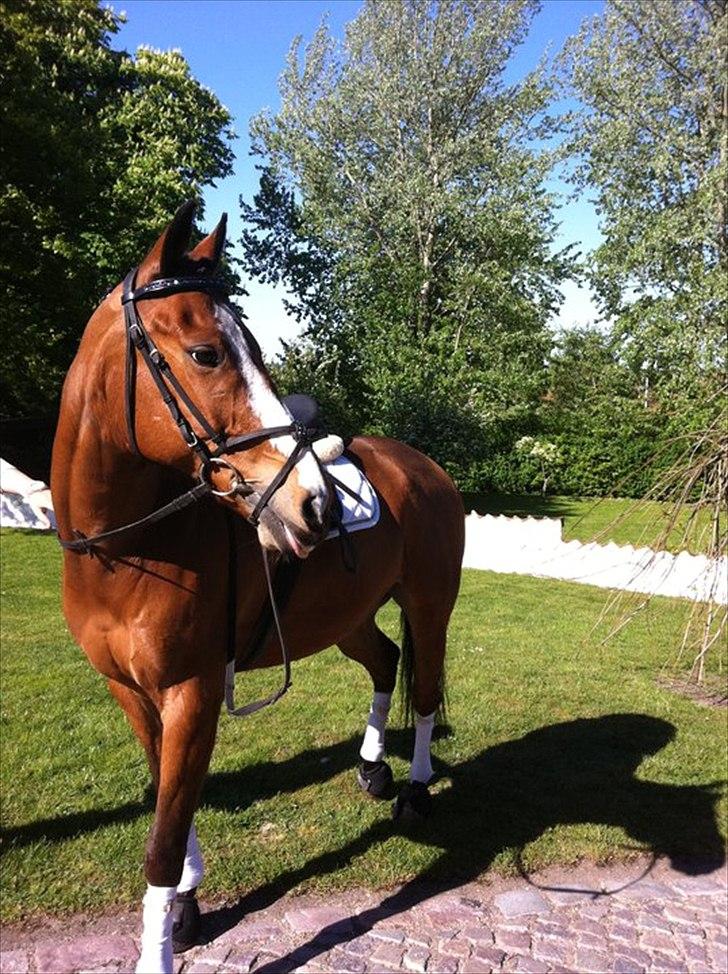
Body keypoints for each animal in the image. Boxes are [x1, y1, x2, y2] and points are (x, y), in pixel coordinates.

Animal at [51, 202, 464, 972]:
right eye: (206, 353)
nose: (317, 505)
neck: (125, 554)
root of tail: (424, 466)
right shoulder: (131, 693)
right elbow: (170, 804)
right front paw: (186, 907)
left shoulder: (192, 692)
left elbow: (162, 837)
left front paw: (160, 944)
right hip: (345, 617)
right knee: (385, 662)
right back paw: (373, 770)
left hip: (430, 605)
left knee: (423, 691)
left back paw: (416, 790)